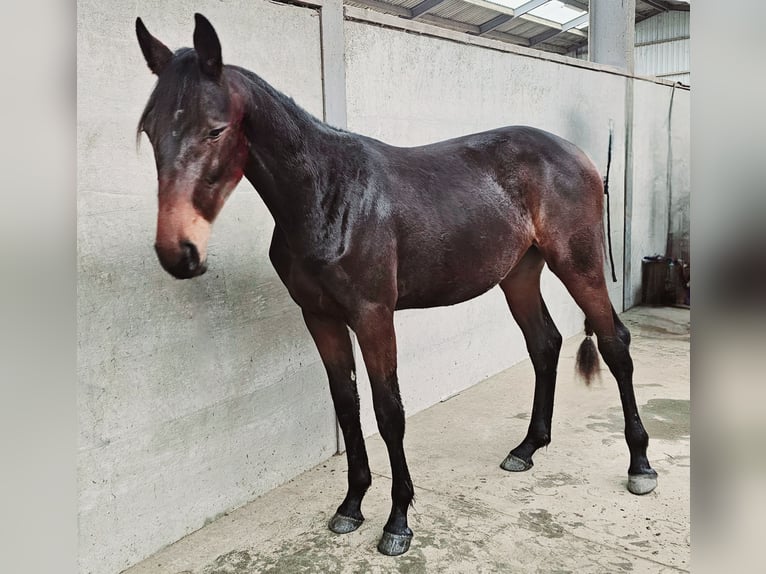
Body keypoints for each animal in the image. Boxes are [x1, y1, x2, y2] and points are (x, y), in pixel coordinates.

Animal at [135, 13, 656, 560]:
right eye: (150, 130)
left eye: (216, 129)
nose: (178, 252)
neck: (328, 194)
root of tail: (579, 156)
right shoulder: (320, 317)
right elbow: (347, 405)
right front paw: (351, 505)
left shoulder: (373, 315)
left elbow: (389, 412)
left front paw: (398, 520)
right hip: (518, 275)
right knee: (545, 344)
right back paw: (528, 447)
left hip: (579, 264)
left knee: (614, 344)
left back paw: (639, 466)